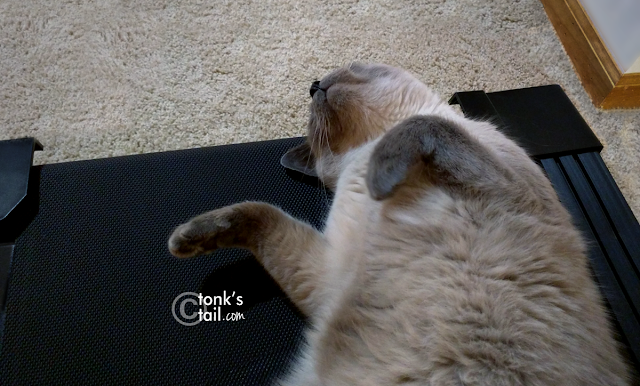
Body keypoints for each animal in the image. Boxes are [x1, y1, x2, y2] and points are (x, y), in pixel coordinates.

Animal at [166, 63, 632, 386]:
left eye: (342, 70)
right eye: (312, 108)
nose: (314, 84)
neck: (368, 143)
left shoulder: (504, 185)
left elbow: (421, 123)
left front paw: (380, 175)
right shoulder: (328, 275)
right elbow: (261, 212)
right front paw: (183, 240)